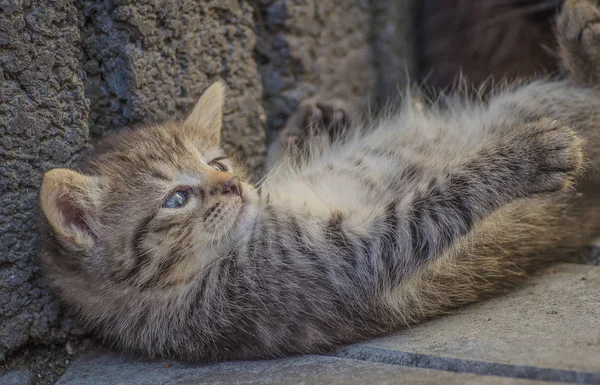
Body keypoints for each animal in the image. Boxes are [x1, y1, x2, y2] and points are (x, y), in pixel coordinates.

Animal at [39, 0, 600, 360]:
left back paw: (582, 28)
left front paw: (302, 129)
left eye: (219, 164)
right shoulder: (335, 265)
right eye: (177, 198)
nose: (232, 187)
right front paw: (523, 156)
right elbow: (435, 205)